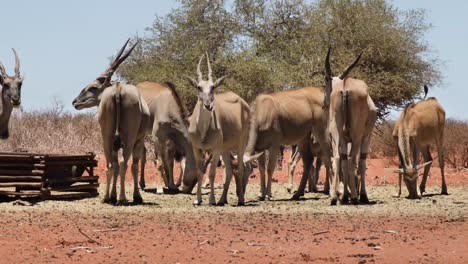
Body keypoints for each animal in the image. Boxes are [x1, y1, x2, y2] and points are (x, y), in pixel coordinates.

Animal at [72, 39, 150, 204]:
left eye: (94, 87)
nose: (75, 102)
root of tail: (118, 89)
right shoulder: (137, 141)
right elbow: (132, 165)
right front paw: (136, 196)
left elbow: (115, 165)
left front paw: (114, 195)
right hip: (127, 139)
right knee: (123, 164)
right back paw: (121, 198)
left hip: (107, 136)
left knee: (111, 165)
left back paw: (108, 197)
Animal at [186, 53, 254, 206]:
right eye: (199, 87)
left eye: (213, 87)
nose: (208, 105)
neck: (203, 130)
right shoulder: (196, 148)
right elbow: (199, 172)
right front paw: (198, 200)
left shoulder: (215, 149)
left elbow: (211, 173)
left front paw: (211, 200)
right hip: (225, 149)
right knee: (228, 171)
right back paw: (222, 199)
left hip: (240, 145)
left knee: (240, 168)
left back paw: (240, 200)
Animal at [324, 48, 378, 204]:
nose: (324, 103)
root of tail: (345, 88)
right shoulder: (365, 138)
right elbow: (361, 161)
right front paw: (362, 195)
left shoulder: (343, 139)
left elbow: (344, 160)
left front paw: (344, 195)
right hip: (356, 135)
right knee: (353, 158)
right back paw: (354, 197)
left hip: (338, 134)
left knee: (338, 157)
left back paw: (335, 197)